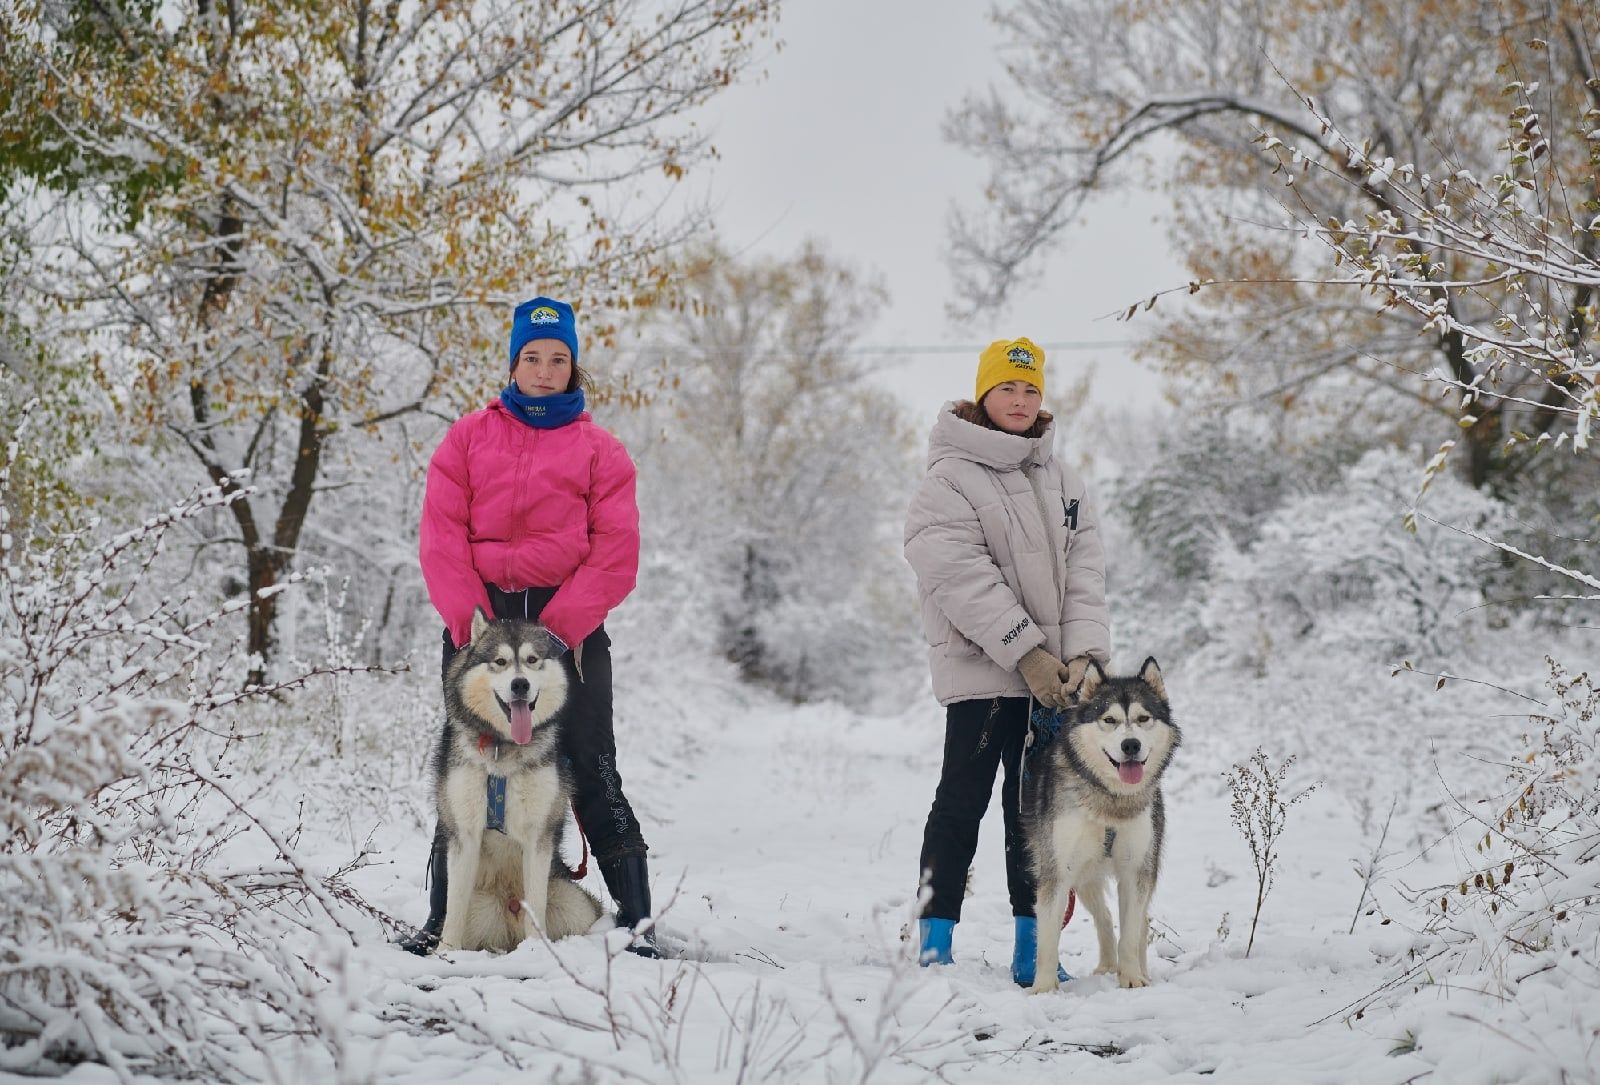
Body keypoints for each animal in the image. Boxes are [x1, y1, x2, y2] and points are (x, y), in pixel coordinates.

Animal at [432, 608, 601, 953]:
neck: (502, 748)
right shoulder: (465, 832)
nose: (520, 684)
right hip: (480, 906)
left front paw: (535, 952)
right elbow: (454, 906)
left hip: (571, 902)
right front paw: (446, 954)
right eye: (500, 661)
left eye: (532, 659)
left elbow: (534, 904)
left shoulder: (538, 835)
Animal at [1024, 659, 1177, 998]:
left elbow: (1131, 932)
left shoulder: (1135, 869)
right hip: (1082, 874)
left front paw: (1131, 977)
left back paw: (1136, 969)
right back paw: (1107, 964)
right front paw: (1043, 988)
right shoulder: (1057, 869)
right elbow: (1048, 936)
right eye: (1109, 720)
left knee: (1138, 922)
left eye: (1143, 718)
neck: (1110, 802)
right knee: (1104, 917)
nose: (1130, 744)